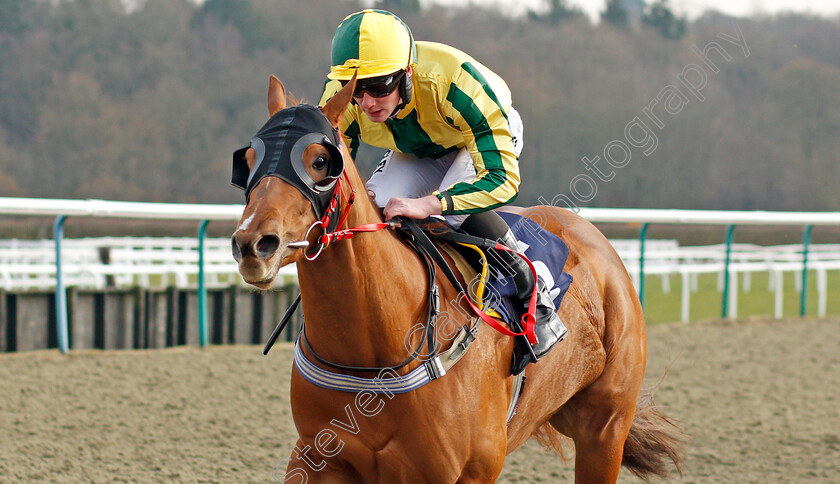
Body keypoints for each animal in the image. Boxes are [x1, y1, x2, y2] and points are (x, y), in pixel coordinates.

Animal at [231, 73, 684, 482]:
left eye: (320, 162)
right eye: (248, 163)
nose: (253, 244)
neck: (373, 351)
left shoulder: (467, 470)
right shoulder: (316, 457)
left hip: (604, 430)